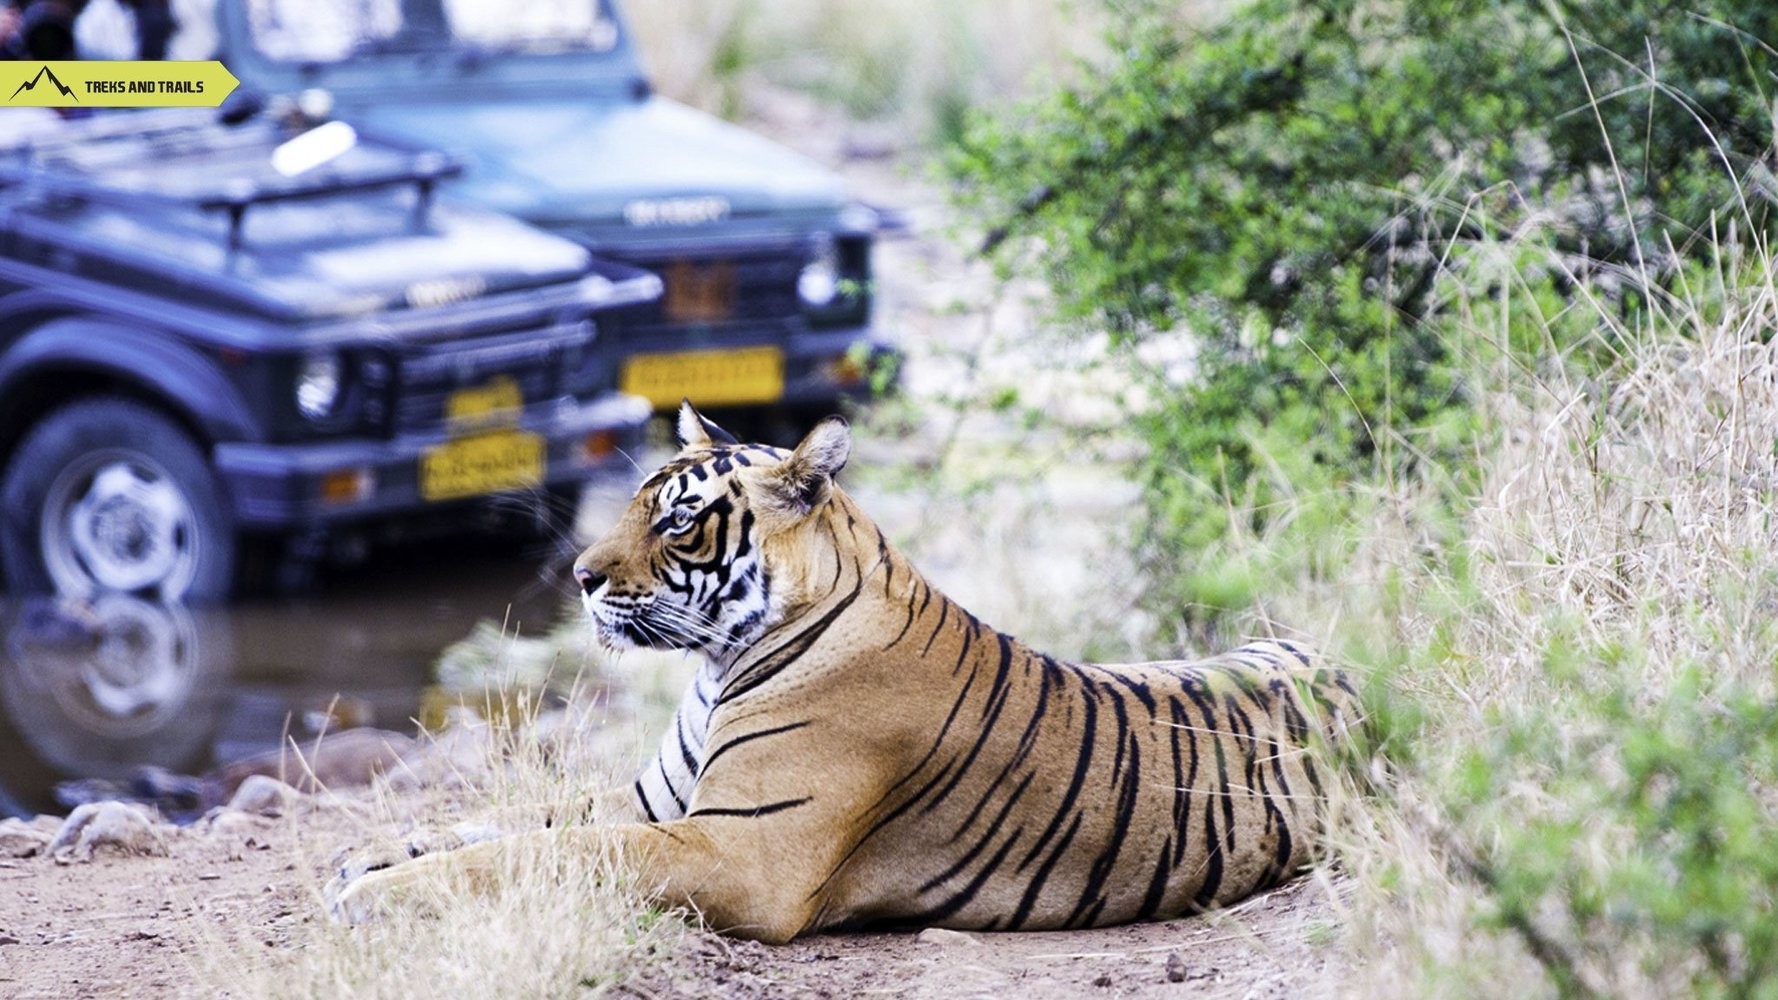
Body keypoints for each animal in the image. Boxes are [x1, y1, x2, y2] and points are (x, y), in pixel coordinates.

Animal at [334, 400, 1358, 939]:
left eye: (677, 520)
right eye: (632, 504)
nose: (580, 579)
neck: (718, 664)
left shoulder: (736, 851)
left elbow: (546, 849)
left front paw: (374, 895)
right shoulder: (656, 803)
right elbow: (506, 822)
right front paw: (373, 853)